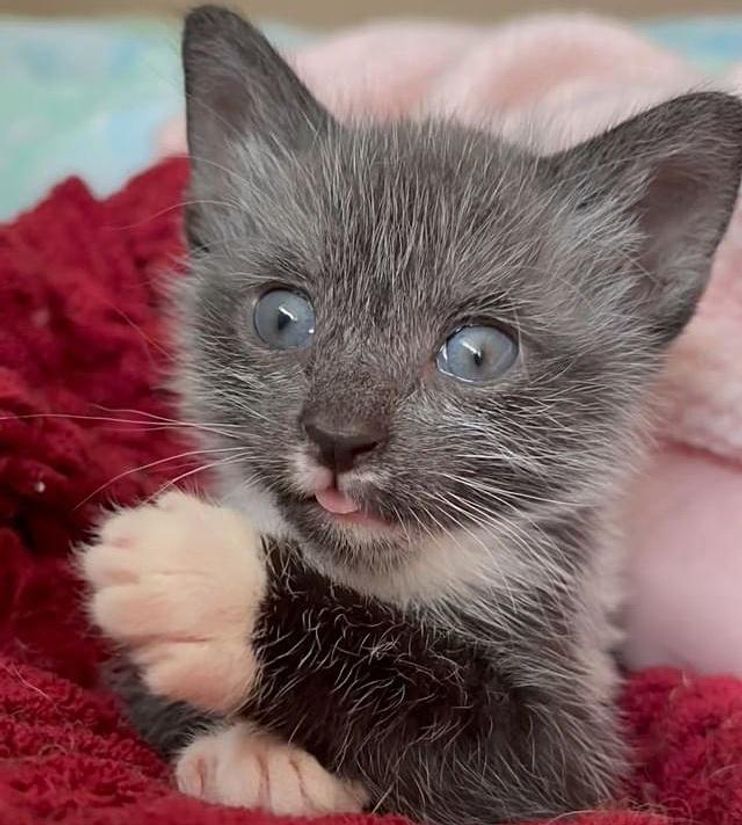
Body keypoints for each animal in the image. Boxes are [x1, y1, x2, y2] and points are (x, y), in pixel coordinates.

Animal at [101, 6, 742, 824]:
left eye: (477, 352)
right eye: (281, 317)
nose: (339, 439)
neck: (389, 575)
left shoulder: (571, 746)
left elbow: (452, 713)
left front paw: (218, 590)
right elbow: (151, 698)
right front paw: (256, 745)